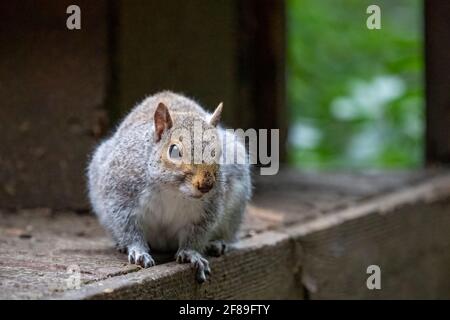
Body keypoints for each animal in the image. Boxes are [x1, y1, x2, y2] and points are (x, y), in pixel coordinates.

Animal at [86, 90, 251, 282]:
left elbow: (197, 233)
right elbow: (128, 225)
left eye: (218, 152)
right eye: (174, 150)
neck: (173, 191)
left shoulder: (207, 209)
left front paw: (191, 253)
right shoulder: (122, 192)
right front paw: (138, 251)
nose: (206, 185)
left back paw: (217, 243)